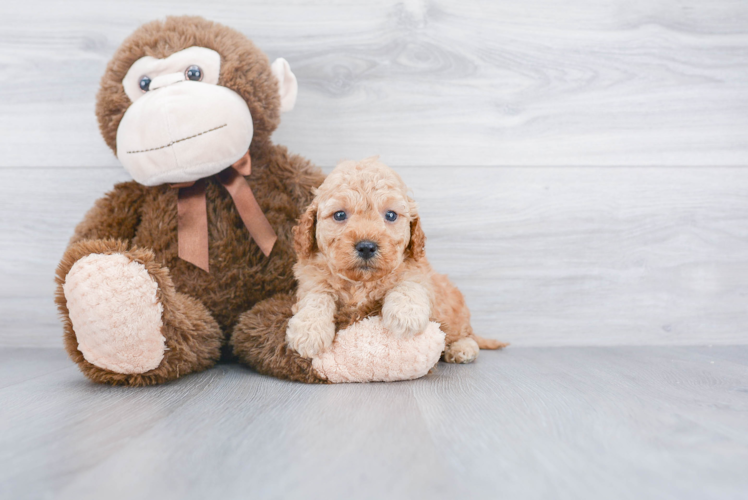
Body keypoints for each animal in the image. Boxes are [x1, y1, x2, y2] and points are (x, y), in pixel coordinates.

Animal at [284, 159, 506, 364]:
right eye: (339, 215)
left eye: (390, 215)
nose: (366, 246)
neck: (361, 282)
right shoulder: (310, 281)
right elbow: (317, 297)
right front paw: (309, 332)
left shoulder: (419, 273)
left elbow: (407, 284)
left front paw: (406, 316)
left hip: (455, 312)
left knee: (465, 334)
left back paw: (463, 348)